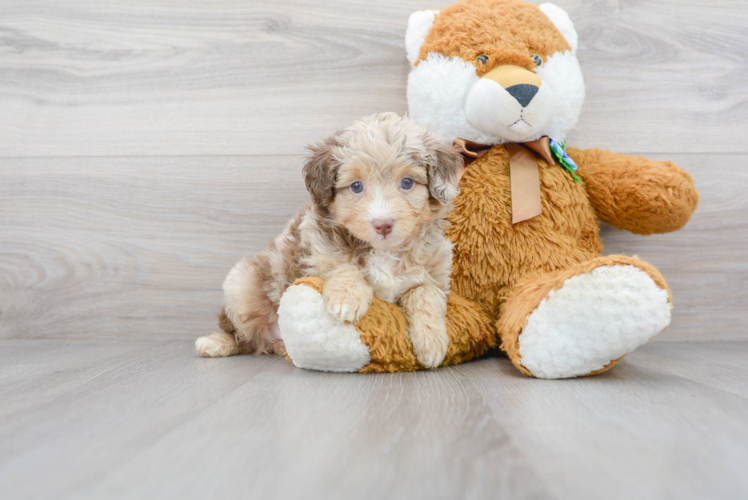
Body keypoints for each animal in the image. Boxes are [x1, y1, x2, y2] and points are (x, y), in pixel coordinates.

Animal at [194, 114, 462, 372]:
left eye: (407, 183)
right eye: (356, 186)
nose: (383, 224)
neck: (383, 251)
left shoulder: (435, 275)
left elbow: (426, 293)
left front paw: (432, 342)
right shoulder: (317, 253)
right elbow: (342, 265)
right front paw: (347, 298)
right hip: (243, 283)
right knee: (240, 334)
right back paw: (216, 343)